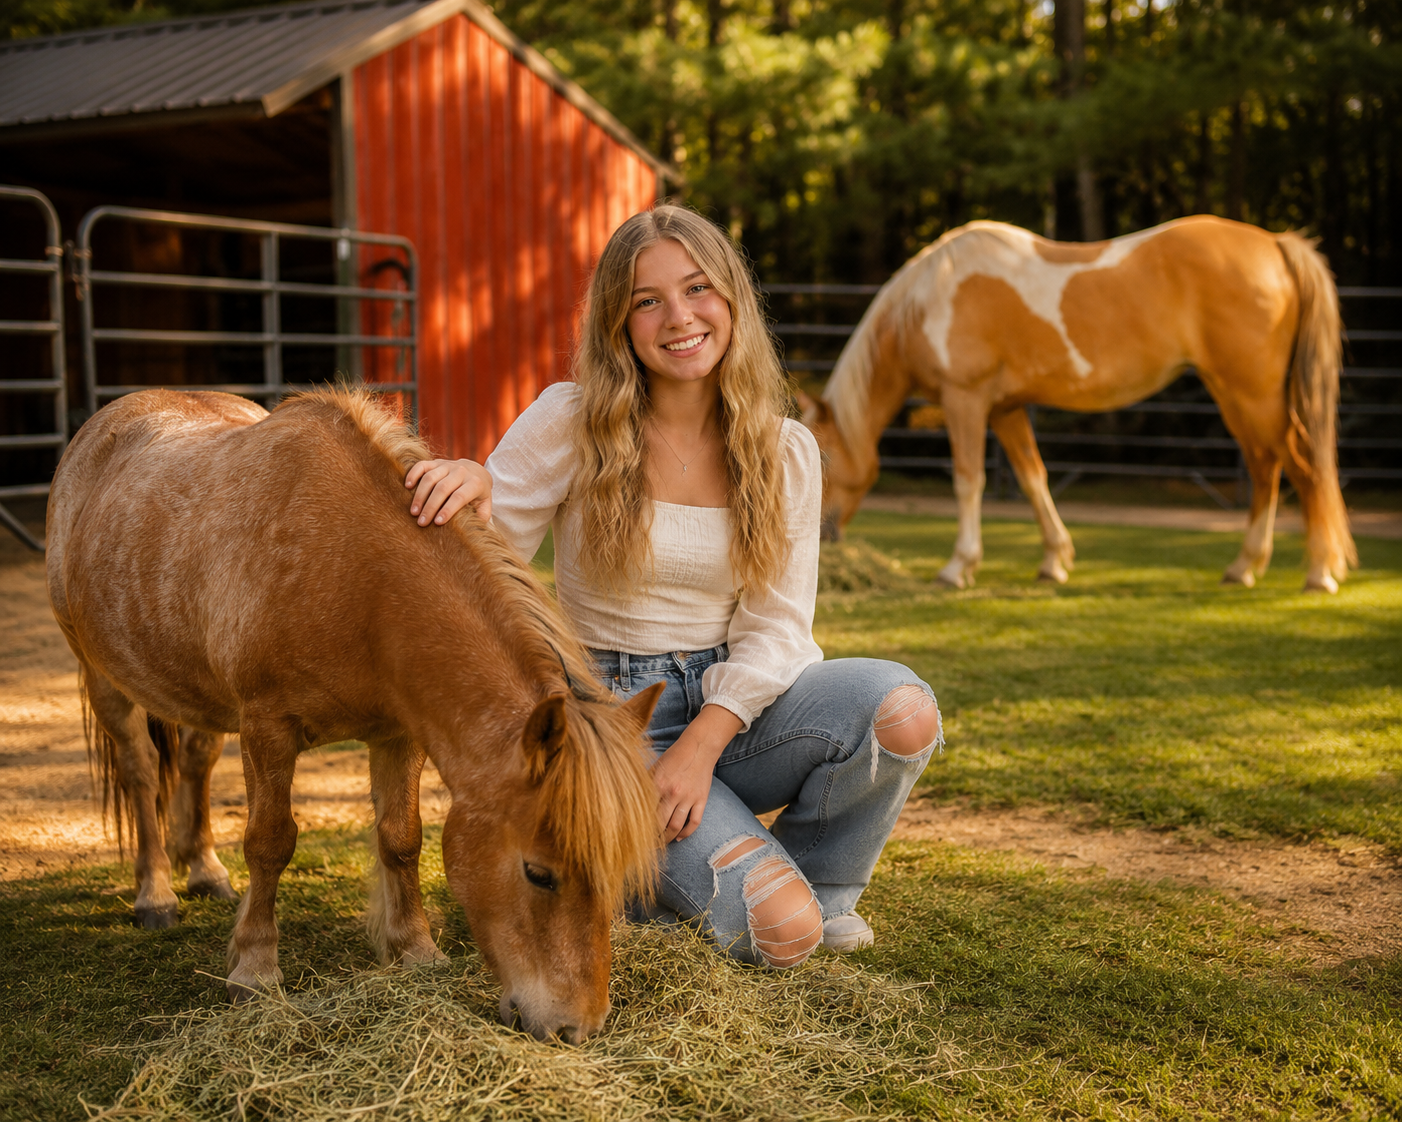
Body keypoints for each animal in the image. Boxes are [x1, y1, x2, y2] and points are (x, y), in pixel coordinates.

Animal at [45, 388, 663, 1042]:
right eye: (539, 873)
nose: (578, 1029)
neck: (352, 569)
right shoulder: (268, 730)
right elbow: (270, 843)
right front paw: (255, 970)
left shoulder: (399, 733)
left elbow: (402, 839)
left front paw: (415, 950)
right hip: (103, 677)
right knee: (140, 773)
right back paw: (156, 894)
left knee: (195, 759)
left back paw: (205, 871)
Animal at [797, 215, 1357, 593]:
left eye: (822, 462)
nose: (823, 536)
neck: (928, 300)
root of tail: (1276, 245)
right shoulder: (1006, 409)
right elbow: (1033, 478)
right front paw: (1054, 561)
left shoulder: (967, 401)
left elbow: (968, 482)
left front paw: (958, 567)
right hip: (1237, 394)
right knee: (1267, 469)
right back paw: (1245, 568)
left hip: (1250, 394)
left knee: (1300, 467)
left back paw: (1316, 572)